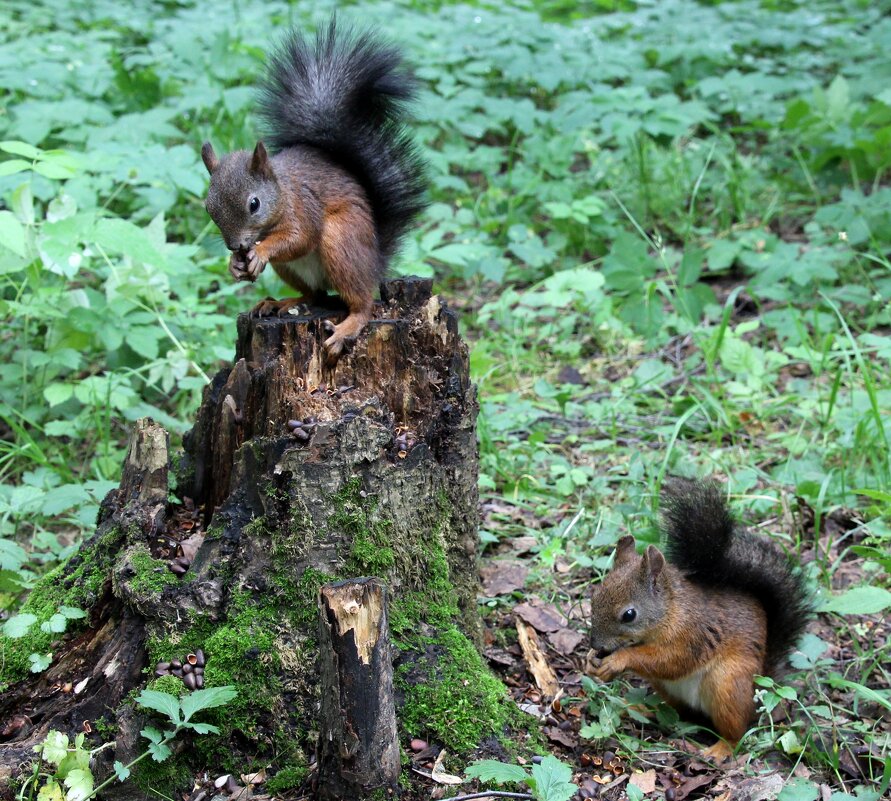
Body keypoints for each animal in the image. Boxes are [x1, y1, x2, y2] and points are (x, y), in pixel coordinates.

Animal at [201, 20, 428, 366]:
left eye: (254, 204)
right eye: (208, 209)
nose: (235, 246)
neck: (282, 193)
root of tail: (376, 261)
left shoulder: (303, 207)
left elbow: (301, 237)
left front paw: (261, 252)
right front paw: (234, 265)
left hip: (341, 242)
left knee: (363, 303)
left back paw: (347, 326)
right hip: (292, 270)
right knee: (314, 294)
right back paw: (280, 303)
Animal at [588, 478, 812, 760]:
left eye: (629, 615)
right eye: (594, 597)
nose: (596, 644)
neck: (671, 611)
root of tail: (759, 687)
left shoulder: (692, 635)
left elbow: (671, 660)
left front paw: (618, 661)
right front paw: (590, 661)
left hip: (728, 685)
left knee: (736, 732)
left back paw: (719, 748)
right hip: (668, 689)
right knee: (677, 711)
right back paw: (645, 710)